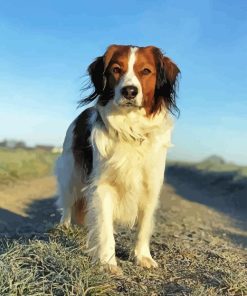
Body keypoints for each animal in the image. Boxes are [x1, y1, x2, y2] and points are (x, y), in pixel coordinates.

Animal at [55, 45, 179, 274]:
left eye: (146, 71)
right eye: (116, 69)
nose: (129, 91)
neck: (131, 129)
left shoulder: (151, 186)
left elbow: (143, 226)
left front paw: (142, 257)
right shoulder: (102, 186)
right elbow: (104, 226)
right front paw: (107, 261)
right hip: (71, 173)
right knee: (67, 202)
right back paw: (63, 226)